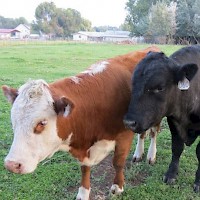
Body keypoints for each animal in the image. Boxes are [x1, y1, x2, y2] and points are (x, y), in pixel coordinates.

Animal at [1, 45, 159, 200]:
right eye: (13, 121)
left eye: (42, 123)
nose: (11, 164)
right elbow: (85, 169)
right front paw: (83, 193)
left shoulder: (124, 135)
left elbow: (118, 162)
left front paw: (117, 187)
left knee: (153, 133)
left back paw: (150, 155)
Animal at [124, 45, 200, 192]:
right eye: (133, 84)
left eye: (159, 88)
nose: (129, 122)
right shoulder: (174, 122)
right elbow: (176, 148)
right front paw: (171, 174)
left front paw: (198, 182)